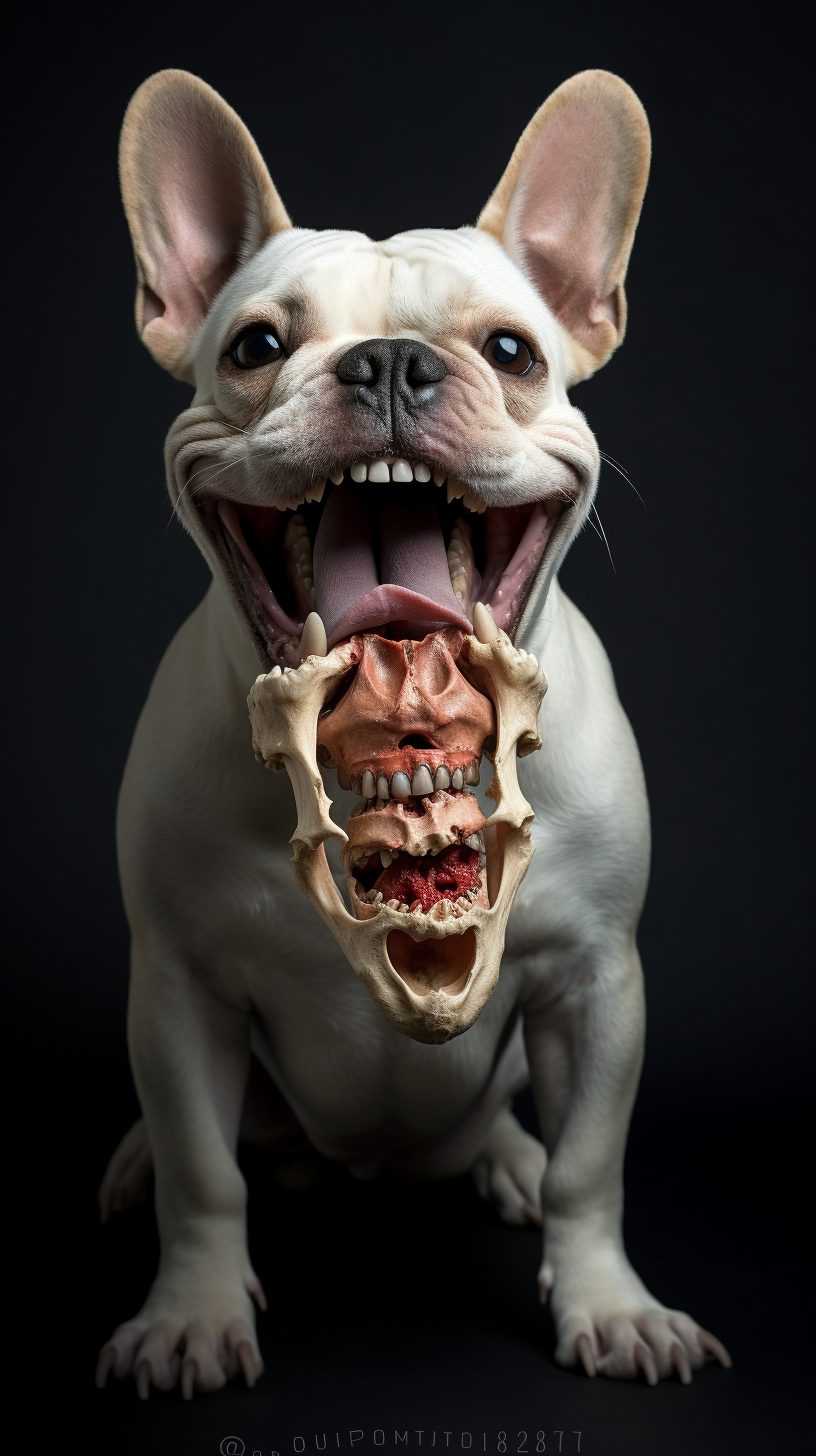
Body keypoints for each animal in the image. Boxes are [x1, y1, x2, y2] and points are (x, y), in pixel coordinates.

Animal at [95, 65, 734, 1397]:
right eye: (256, 345)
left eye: (511, 351)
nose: (388, 361)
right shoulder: (179, 987)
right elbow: (202, 1171)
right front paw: (190, 1313)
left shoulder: (598, 979)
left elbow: (594, 1162)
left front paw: (610, 1302)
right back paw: (130, 1164)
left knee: (514, 1132)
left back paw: (510, 1162)